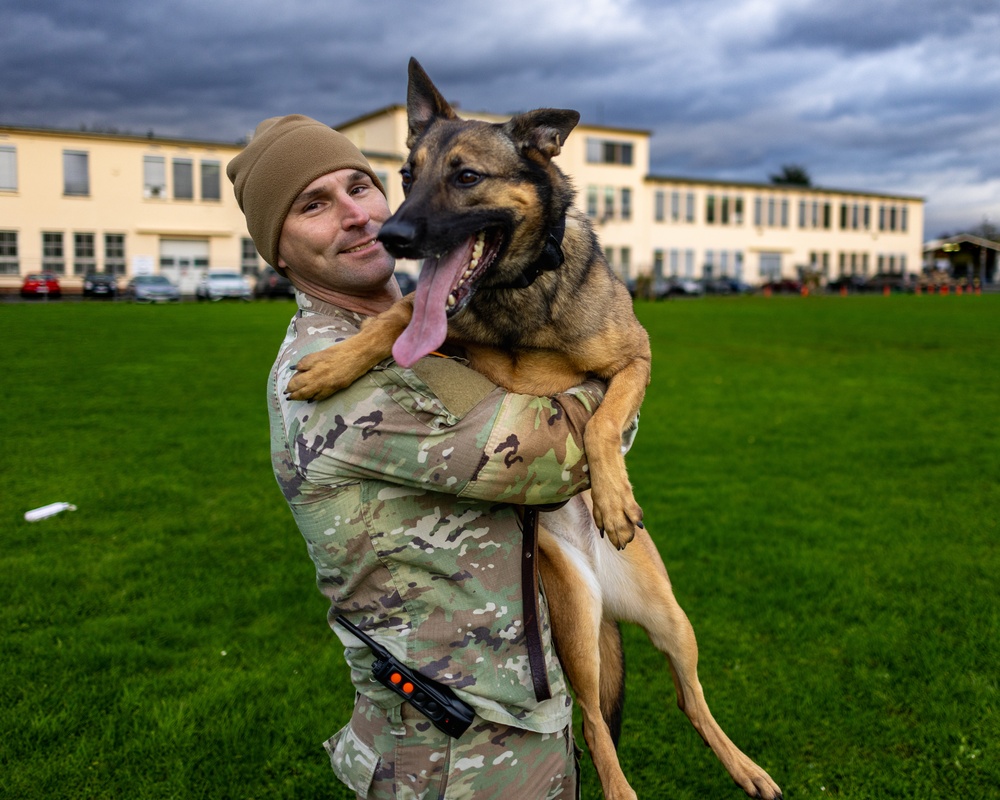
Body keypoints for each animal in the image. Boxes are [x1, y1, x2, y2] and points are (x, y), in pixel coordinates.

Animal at [290, 57, 780, 800]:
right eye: (405, 175)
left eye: (466, 176)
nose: (392, 237)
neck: (517, 296)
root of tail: (607, 592)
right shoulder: (444, 333)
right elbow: (397, 315)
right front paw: (333, 363)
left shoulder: (636, 359)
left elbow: (602, 422)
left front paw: (612, 497)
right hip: (572, 617)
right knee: (594, 721)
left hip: (673, 619)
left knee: (688, 699)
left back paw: (744, 768)